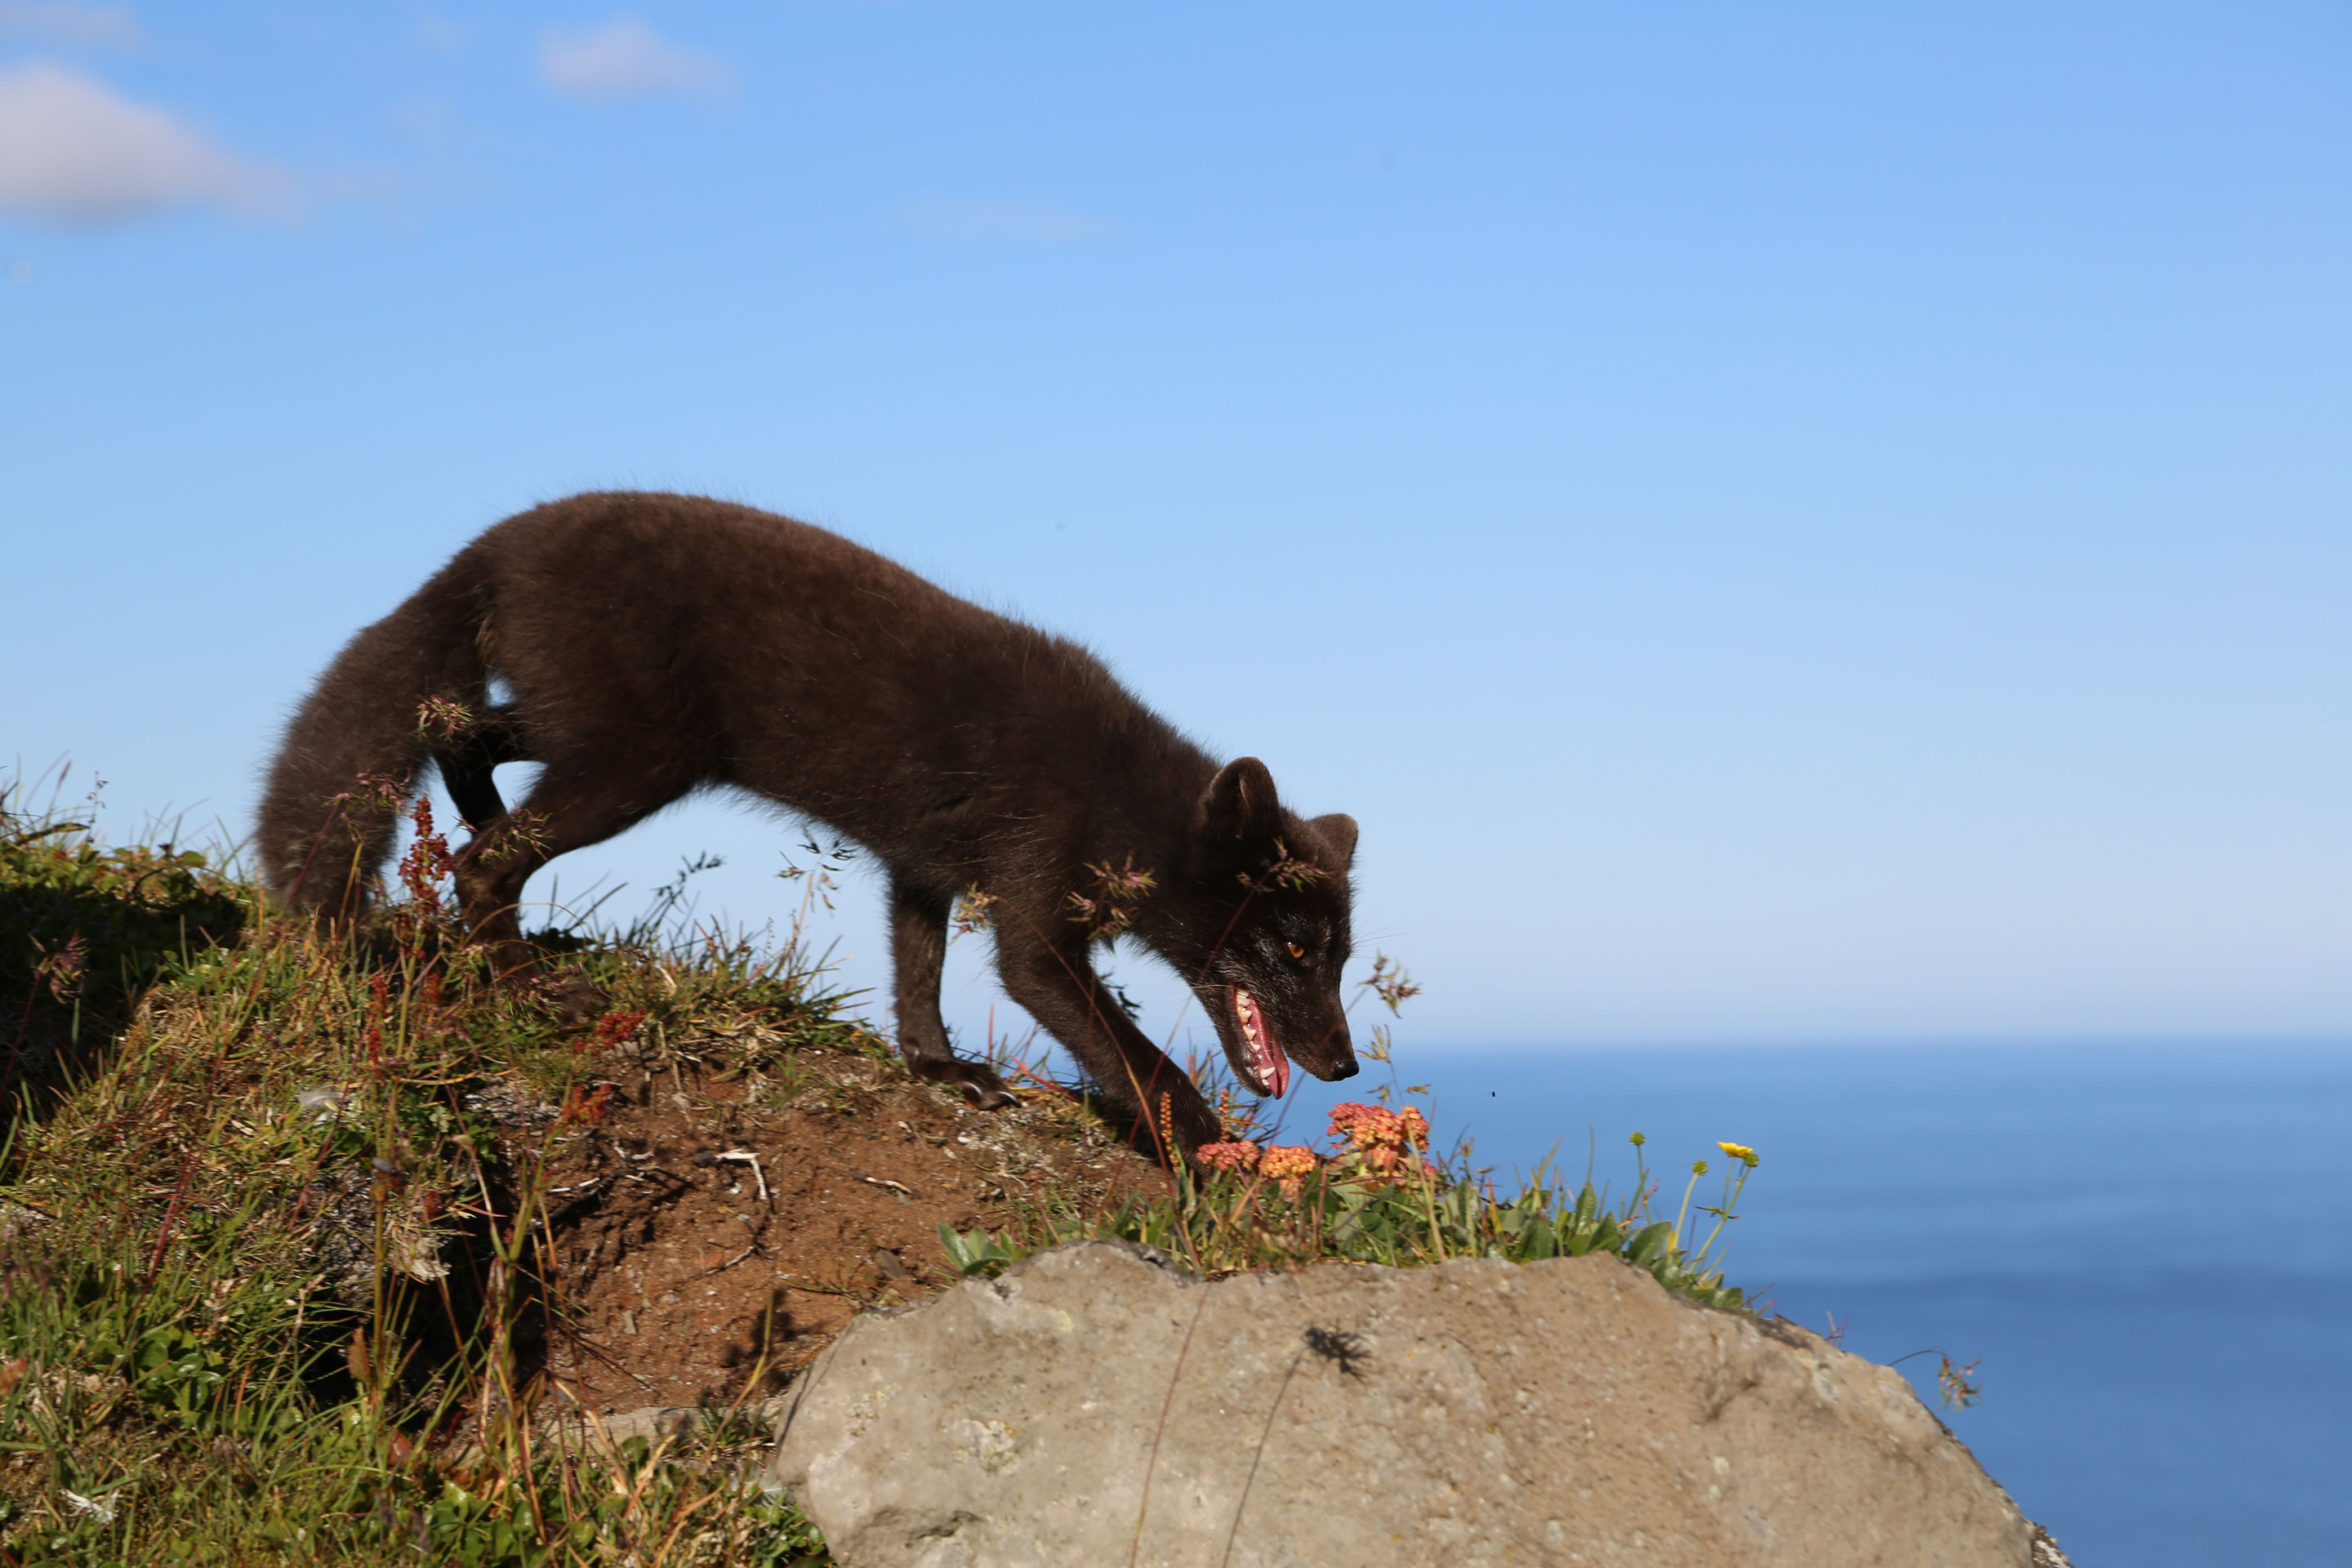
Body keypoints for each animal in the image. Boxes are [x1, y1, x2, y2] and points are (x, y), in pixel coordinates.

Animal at [257, 491, 1360, 1159]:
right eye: (1296, 949)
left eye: (1341, 958)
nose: (1347, 1066)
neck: (1123, 801)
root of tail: (494, 543)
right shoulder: (1037, 928)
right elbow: (1145, 1064)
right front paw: (1216, 1164)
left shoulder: (924, 868)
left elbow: (918, 977)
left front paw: (942, 1071)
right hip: (636, 762)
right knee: (483, 859)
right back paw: (534, 991)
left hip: (583, 734)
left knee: (458, 742)